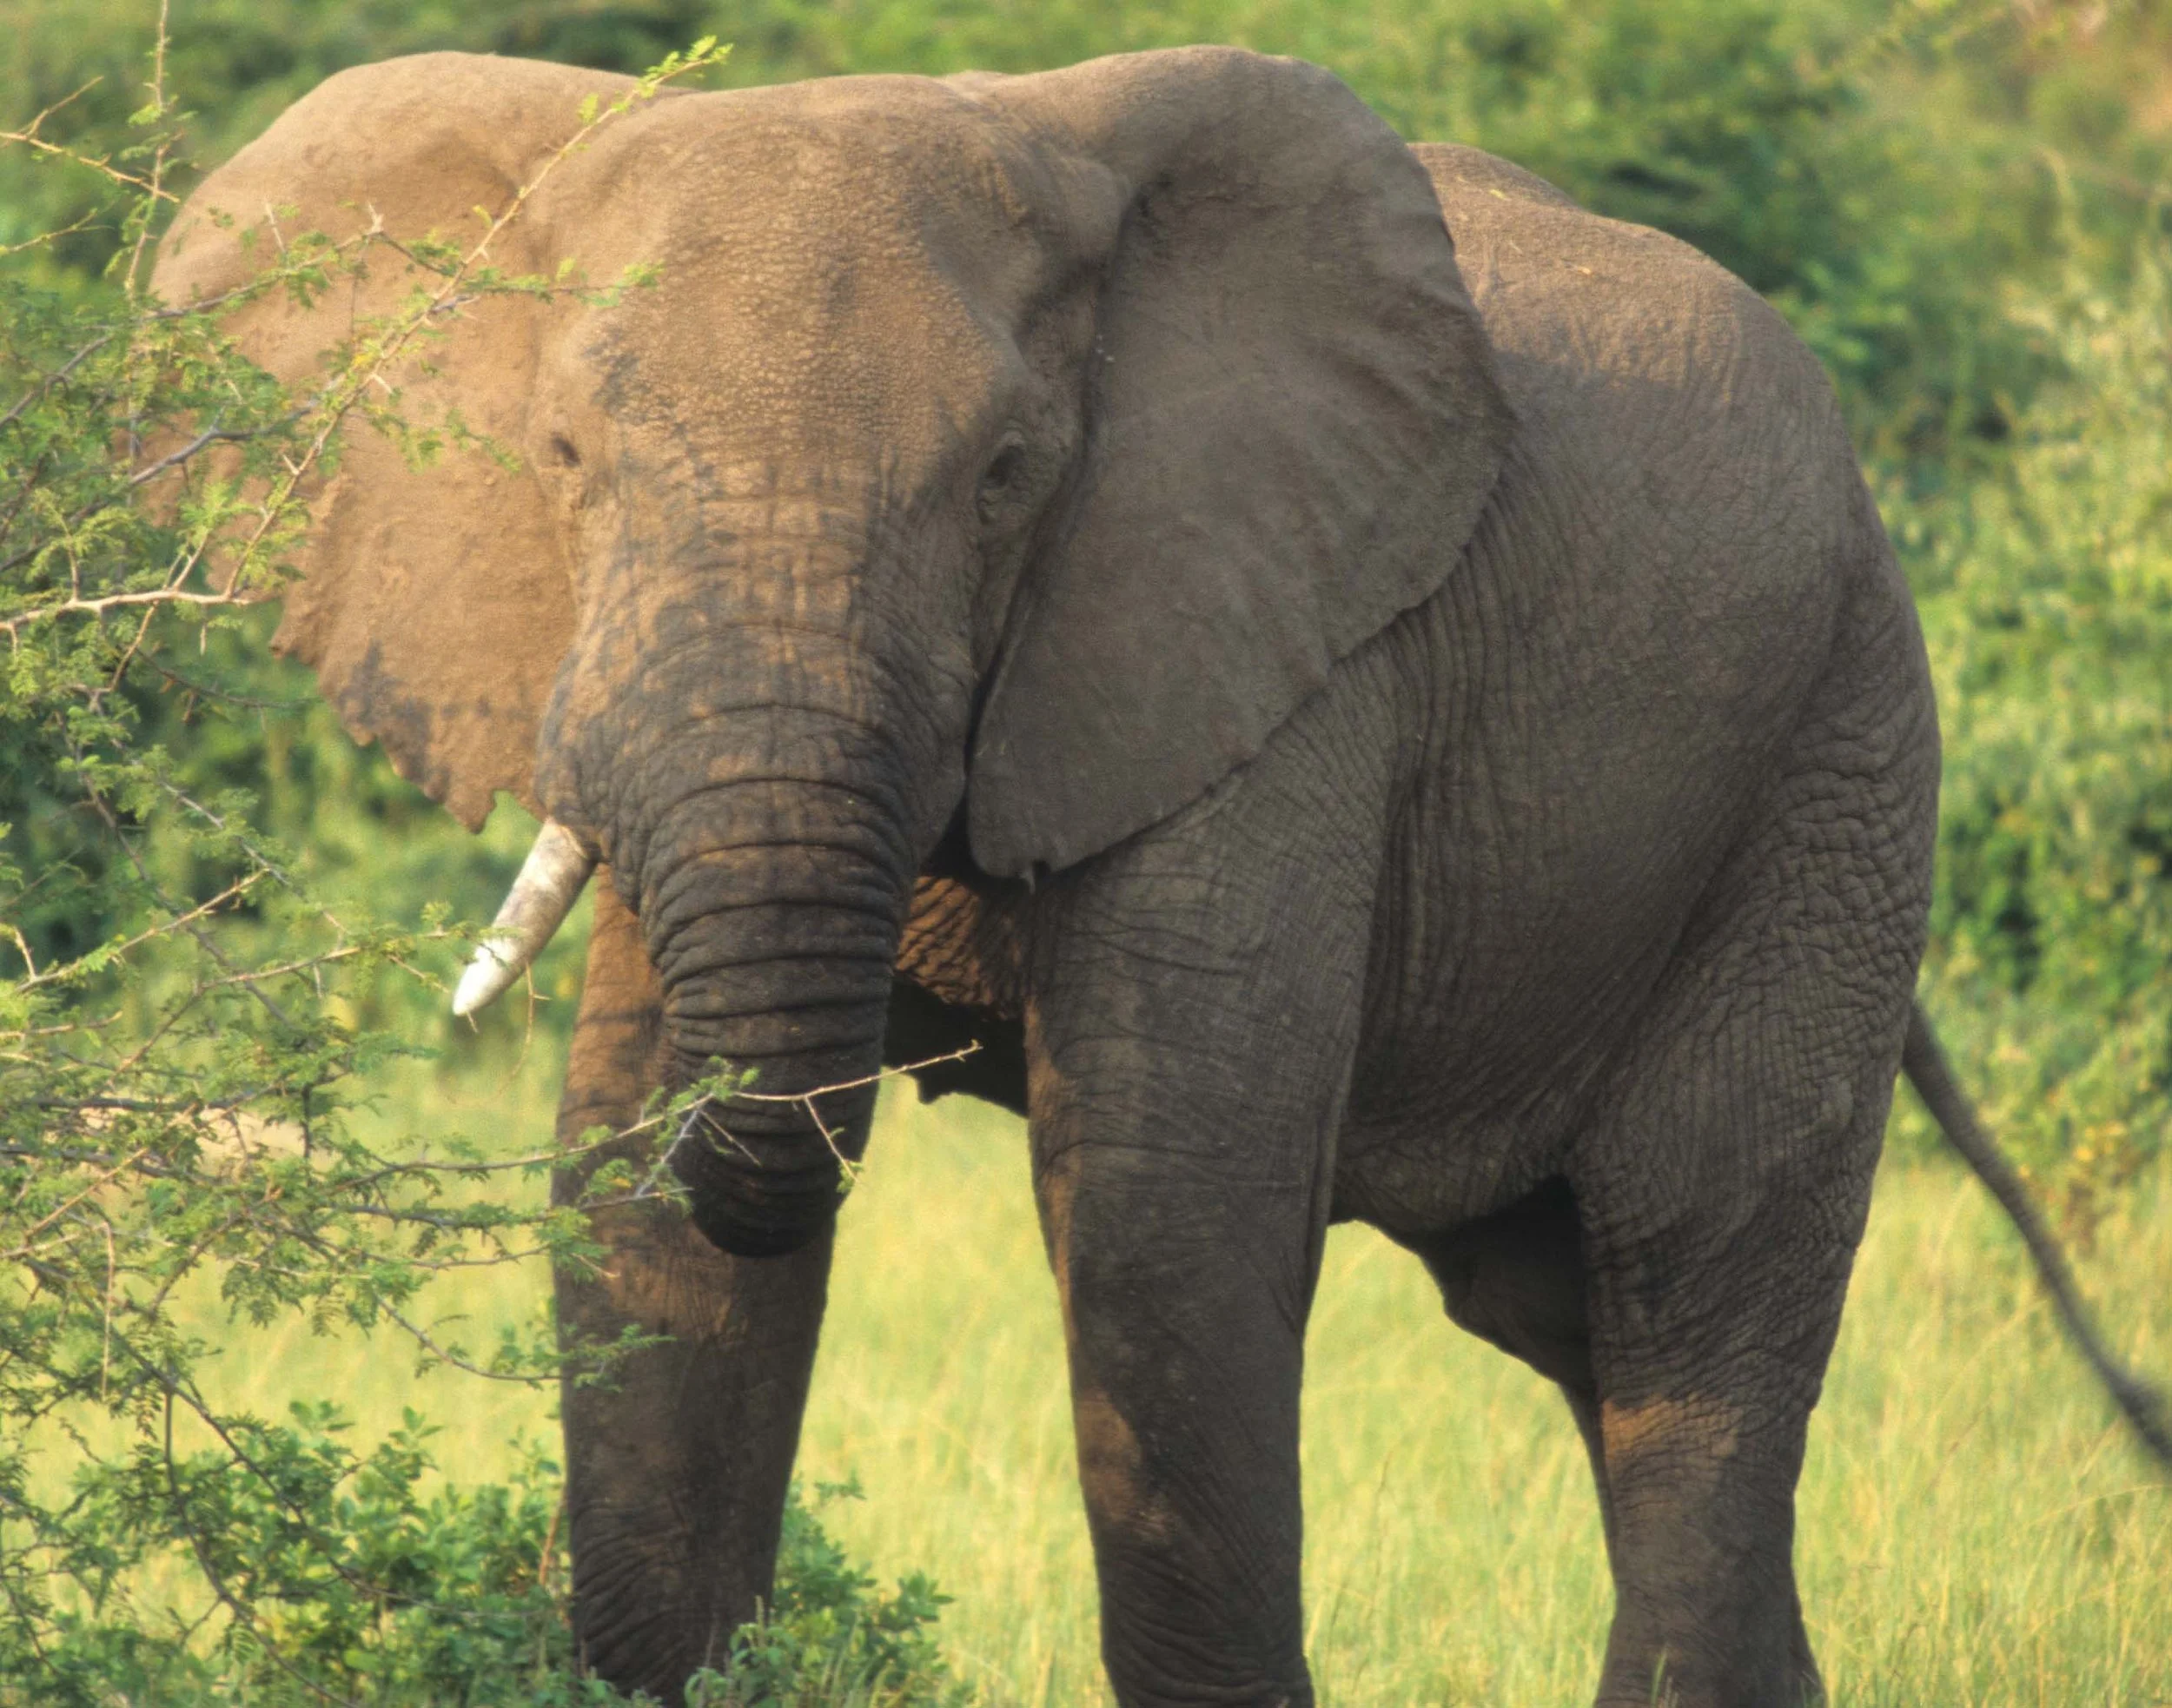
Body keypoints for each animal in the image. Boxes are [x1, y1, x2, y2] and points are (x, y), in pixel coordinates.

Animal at [152, 45, 2167, 1708]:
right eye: (566, 457)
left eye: (1006, 475)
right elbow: (635, 1195)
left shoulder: (1285, 654)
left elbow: (1164, 1219)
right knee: (1571, 1318)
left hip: (1831, 772)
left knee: (1697, 1297)